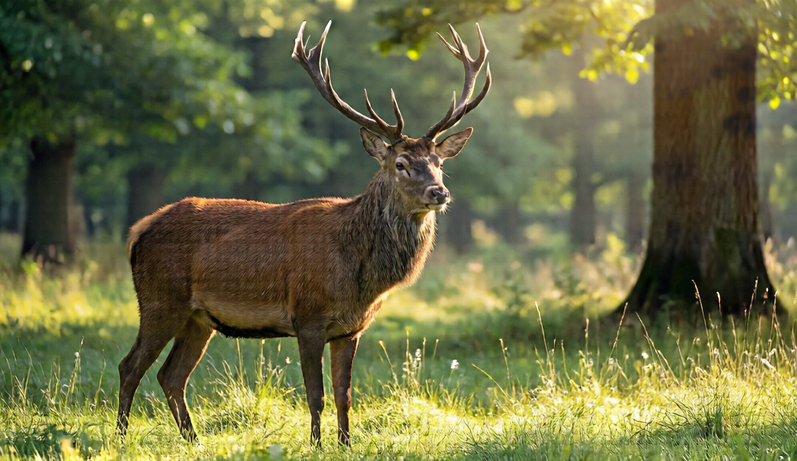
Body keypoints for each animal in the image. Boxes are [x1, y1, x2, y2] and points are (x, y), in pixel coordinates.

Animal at [116, 20, 490, 448]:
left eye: (439, 162)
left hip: (198, 318)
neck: (360, 278)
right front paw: (317, 444)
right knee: (130, 366)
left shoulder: (351, 329)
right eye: (400, 163)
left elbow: (345, 394)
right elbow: (316, 394)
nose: (439, 192)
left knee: (171, 375)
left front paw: (346, 445)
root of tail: (137, 232)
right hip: (160, 299)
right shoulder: (308, 317)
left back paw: (193, 440)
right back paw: (121, 437)